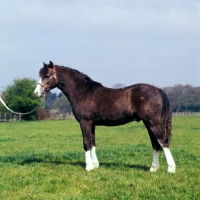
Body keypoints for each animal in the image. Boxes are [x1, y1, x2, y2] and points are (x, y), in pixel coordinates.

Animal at [33, 60, 176, 172]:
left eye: (47, 75)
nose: (36, 93)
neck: (83, 92)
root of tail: (158, 90)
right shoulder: (92, 124)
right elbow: (92, 143)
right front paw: (95, 165)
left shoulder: (84, 122)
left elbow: (86, 143)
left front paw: (88, 167)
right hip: (148, 123)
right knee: (156, 144)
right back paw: (153, 168)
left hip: (153, 123)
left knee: (163, 142)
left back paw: (171, 168)